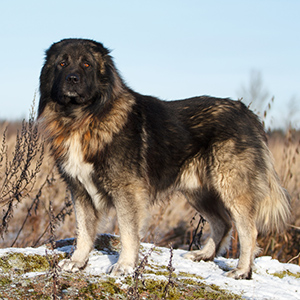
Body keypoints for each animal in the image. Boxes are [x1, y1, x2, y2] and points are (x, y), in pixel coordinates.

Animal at [38, 38, 290, 280]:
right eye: (62, 63)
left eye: (87, 64)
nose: (72, 79)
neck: (82, 117)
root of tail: (247, 112)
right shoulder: (80, 190)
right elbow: (83, 231)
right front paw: (77, 262)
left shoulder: (126, 191)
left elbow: (127, 232)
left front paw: (124, 266)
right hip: (199, 192)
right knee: (223, 222)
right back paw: (204, 255)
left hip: (230, 187)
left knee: (248, 230)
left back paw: (242, 271)